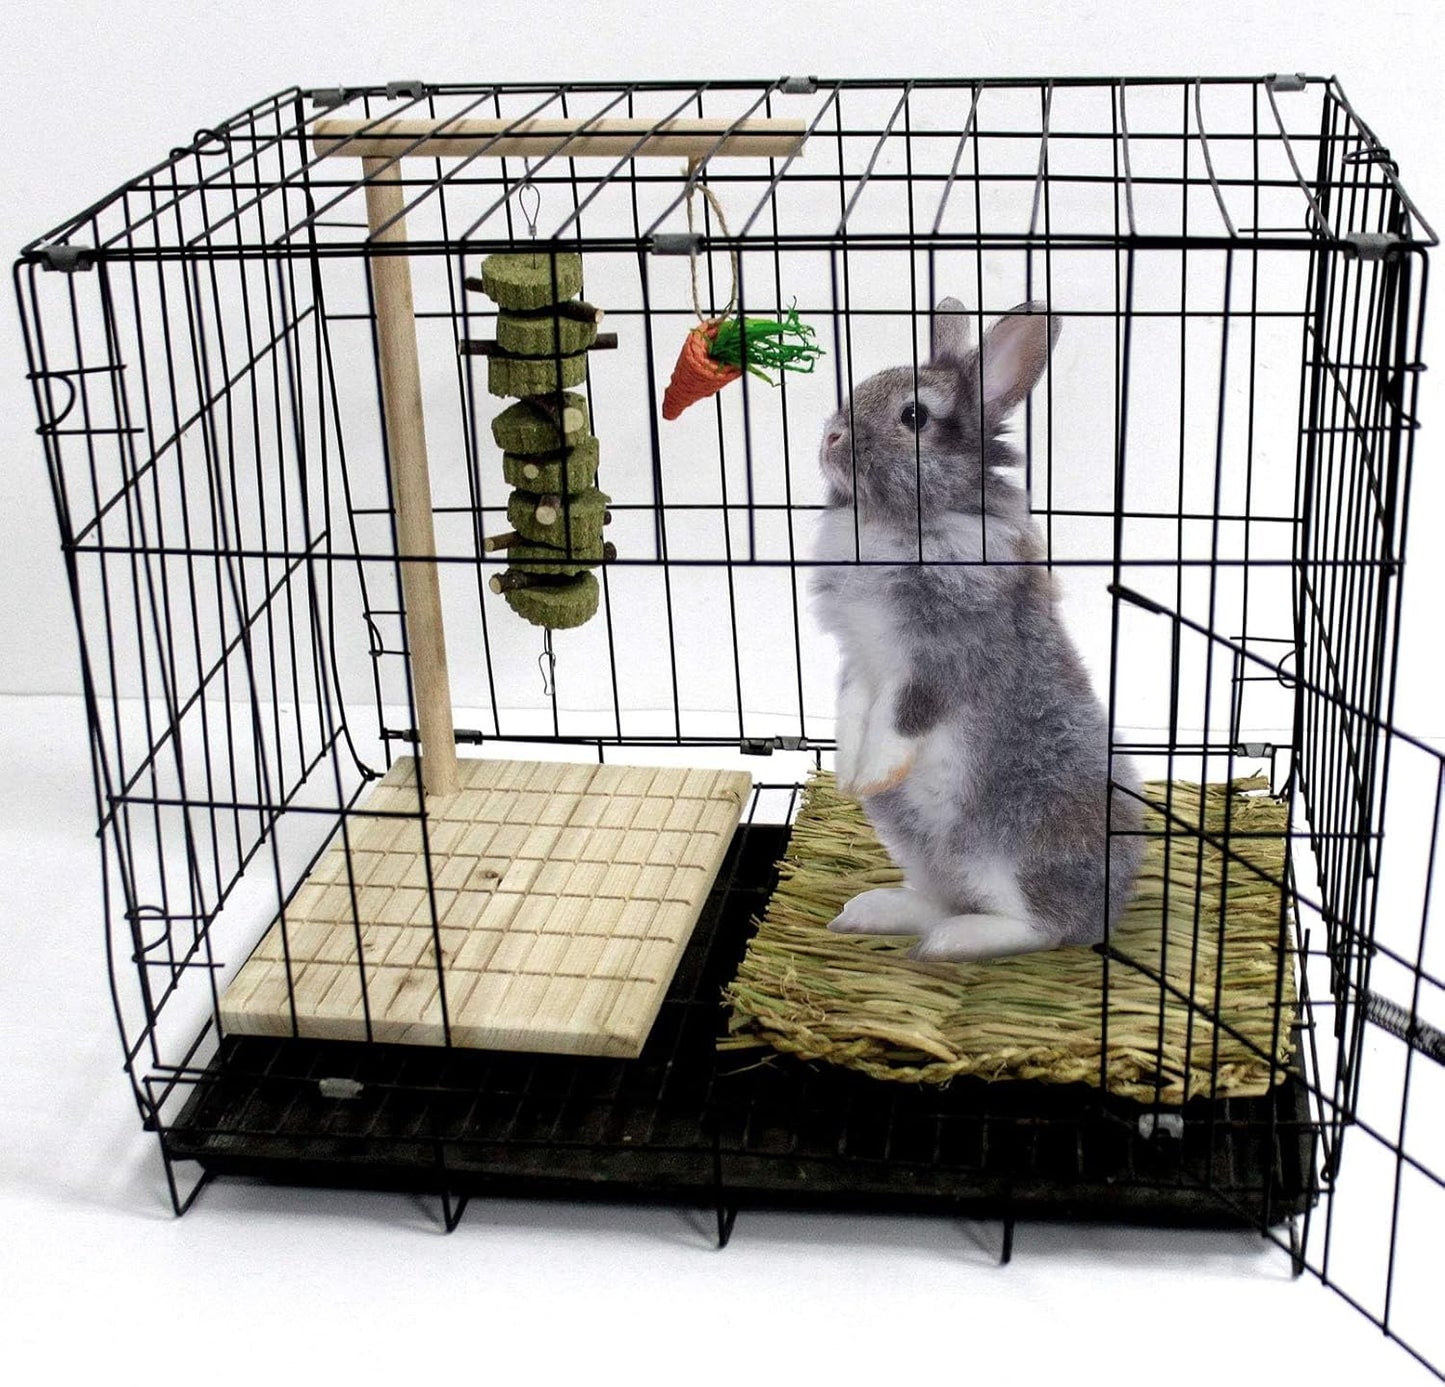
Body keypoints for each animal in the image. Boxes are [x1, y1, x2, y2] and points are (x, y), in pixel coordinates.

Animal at [809, 297, 1143, 961]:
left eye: (914, 416)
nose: (830, 436)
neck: (896, 523)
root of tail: (1106, 910)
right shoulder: (859, 659)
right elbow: (852, 712)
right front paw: (847, 778)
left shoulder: (937, 659)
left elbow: (899, 717)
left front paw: (874, 773)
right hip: (921, 848)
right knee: (942, 896)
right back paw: (873, 912)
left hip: (1011, 848)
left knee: (1038, 927)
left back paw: (950, 943)